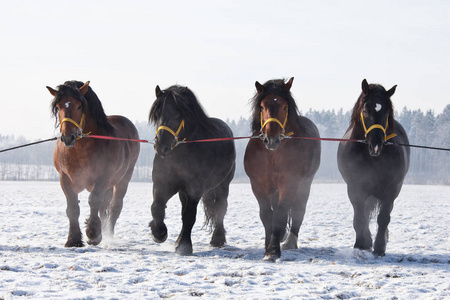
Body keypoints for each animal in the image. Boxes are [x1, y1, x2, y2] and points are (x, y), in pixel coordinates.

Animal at [46, 79, 140, 246]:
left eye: (79, 105)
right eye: (58, 106)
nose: (68, 137)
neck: (80, 150)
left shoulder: (103, 177)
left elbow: (94, 200)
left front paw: (93, 233)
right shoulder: (64, 178)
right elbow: (72, 208)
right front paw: (73, 239)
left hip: (123, 179)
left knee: (114, 207)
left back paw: (108, 233)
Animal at [149, 84, 237, 255]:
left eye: (177, 116)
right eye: (156, 114)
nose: (161, 147)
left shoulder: (195, 188)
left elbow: (190, 216)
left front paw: (184, 246)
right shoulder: (163, 184)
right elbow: (157, 207)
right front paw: (159, 233)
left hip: (222, 185)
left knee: (220, 208)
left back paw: (217, 239)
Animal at [244, 77, 322, 260]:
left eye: (284, 107)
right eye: (262, 106)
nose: (271, 139)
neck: (272, 155)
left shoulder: (289, 183)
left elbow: (280, 215)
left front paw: (273, 251)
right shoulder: (258, 185)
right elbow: (267, 215)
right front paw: (268, 247)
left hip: (305, 184)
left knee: (298, 210)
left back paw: (289, 242)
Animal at [340, 79, 410, 255]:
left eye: (386, 112)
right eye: (365, 110)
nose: (376, 146)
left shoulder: (391, 191)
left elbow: (383, 218)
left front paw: (379, 248)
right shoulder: (355, 189)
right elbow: (360, 218)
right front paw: (360, 244)